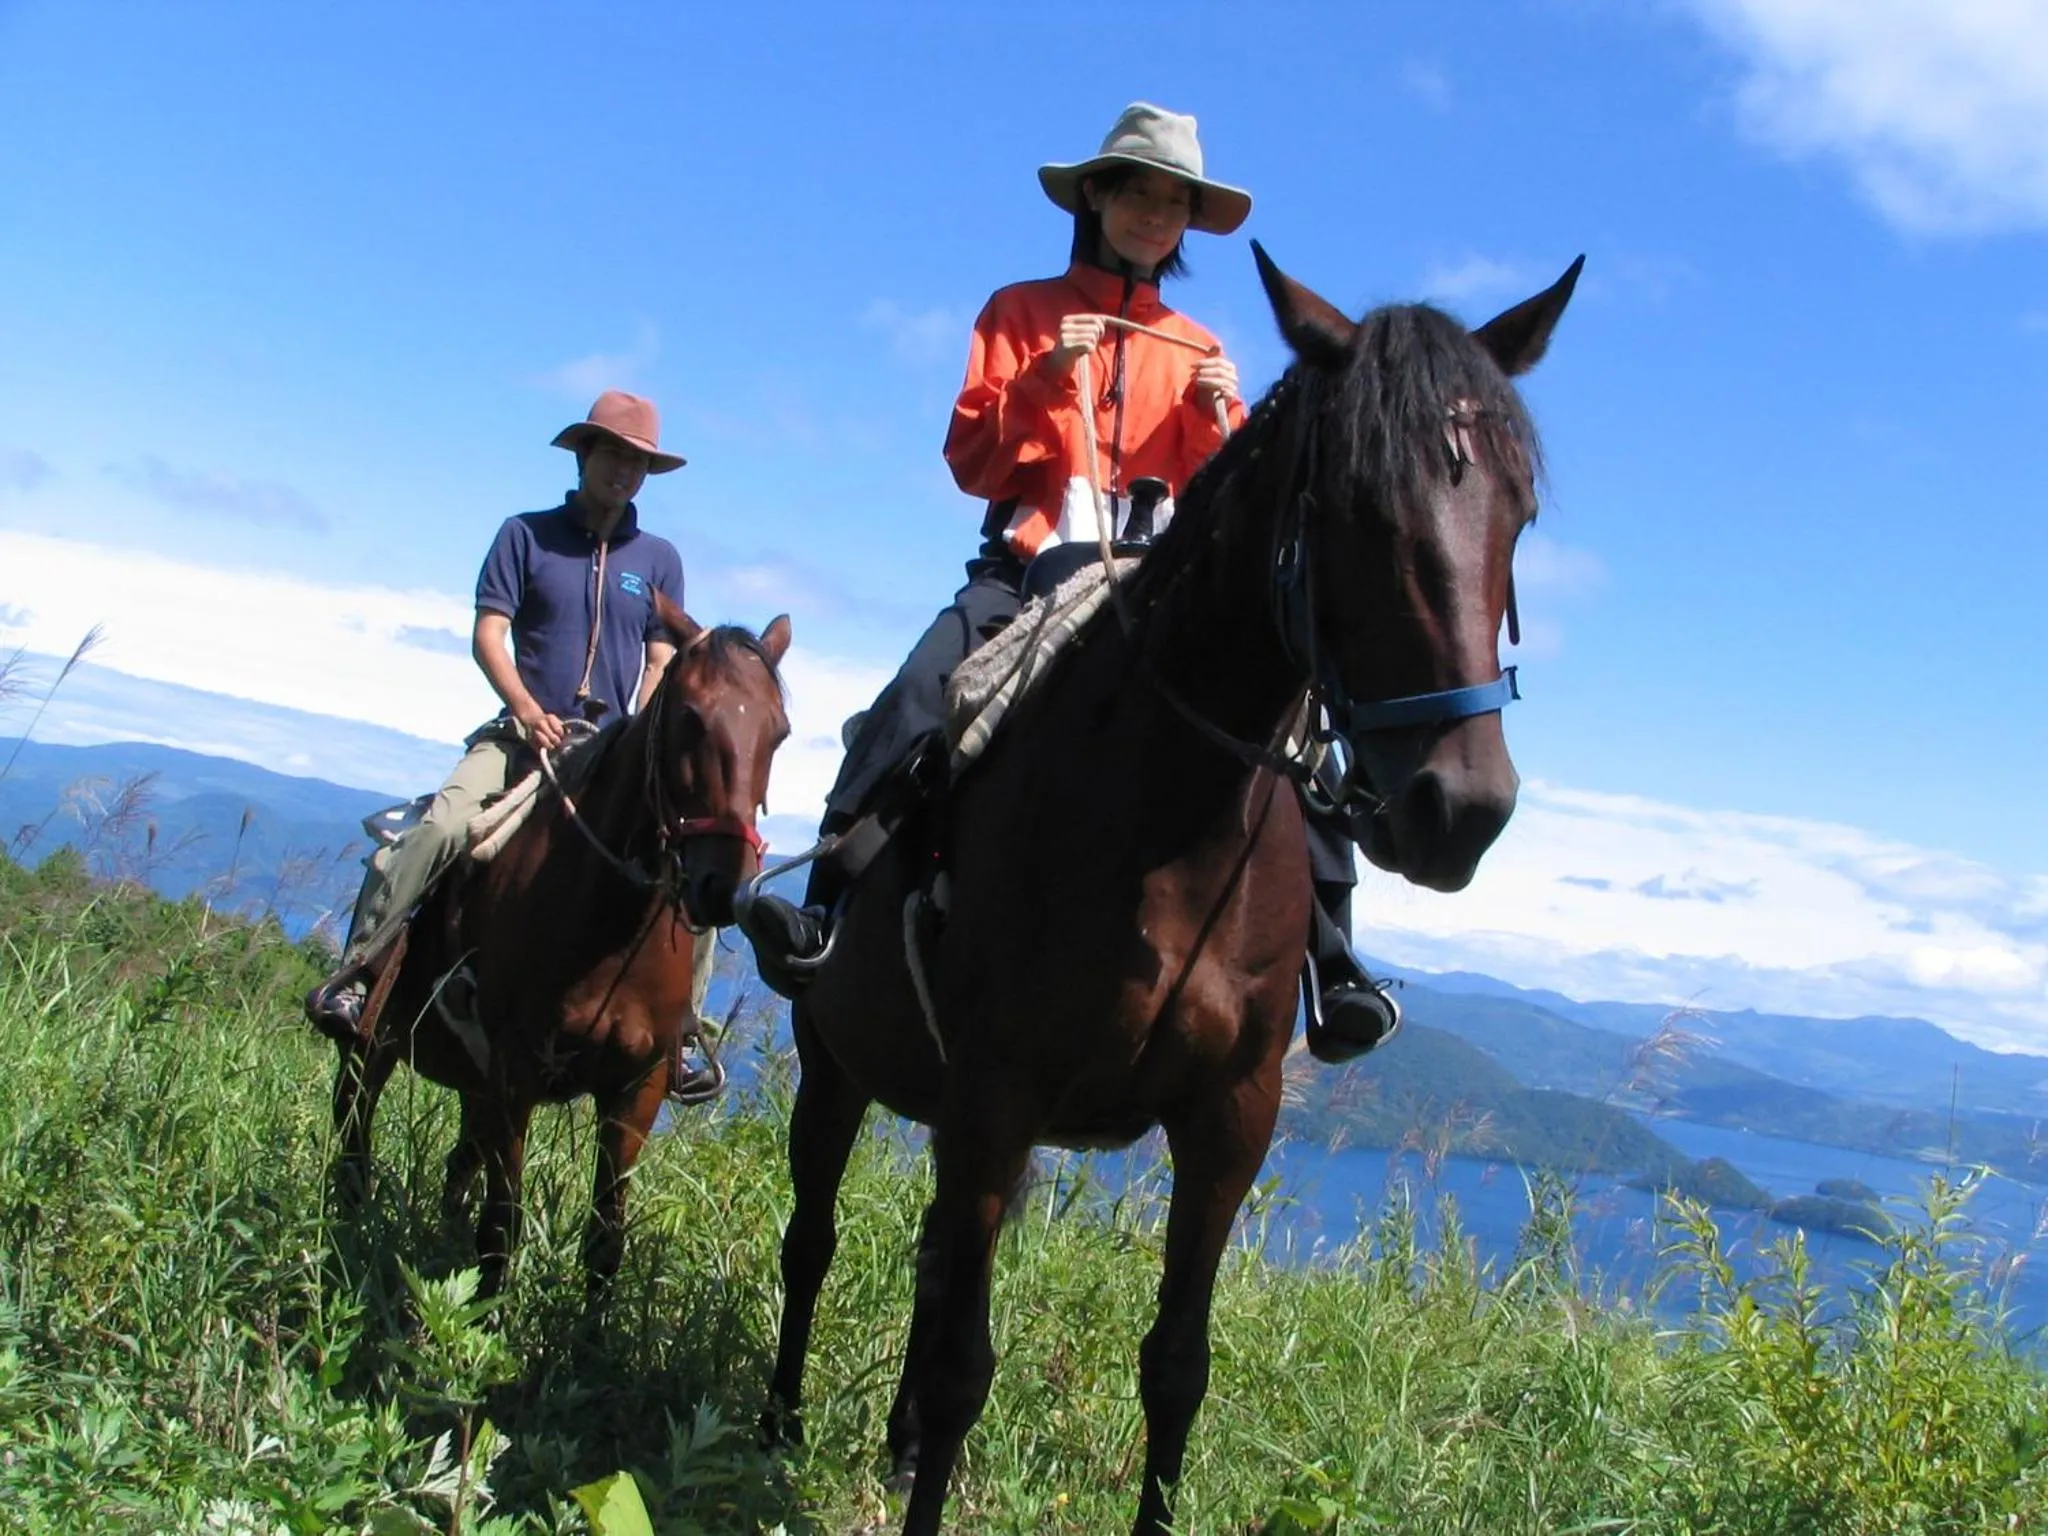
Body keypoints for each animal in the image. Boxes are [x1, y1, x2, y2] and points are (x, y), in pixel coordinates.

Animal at [330, 597, 791, 1300]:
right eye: (690, 716)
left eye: (780, 732)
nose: (720, 883)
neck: (605, 926)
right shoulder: (515, 1074)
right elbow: (500, 1229)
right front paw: (484, 1325)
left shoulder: (637, 1089)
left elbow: (605, 1241)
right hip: (372, 1048)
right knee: (353, 1144)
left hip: (472, 1086)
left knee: (456, 1167)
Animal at [756, 244, 1580, 1533]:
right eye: (1351, 505)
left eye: (1519, 512)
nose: (1461, 808)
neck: (1161, 827)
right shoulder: (994, 1099)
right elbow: (961, 1367)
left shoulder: (1226, 1117)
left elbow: (1175, 1368)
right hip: (834, 1065)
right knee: (814, 1239)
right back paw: (777, 1425)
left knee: (931, 1259)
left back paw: (888, 1442)